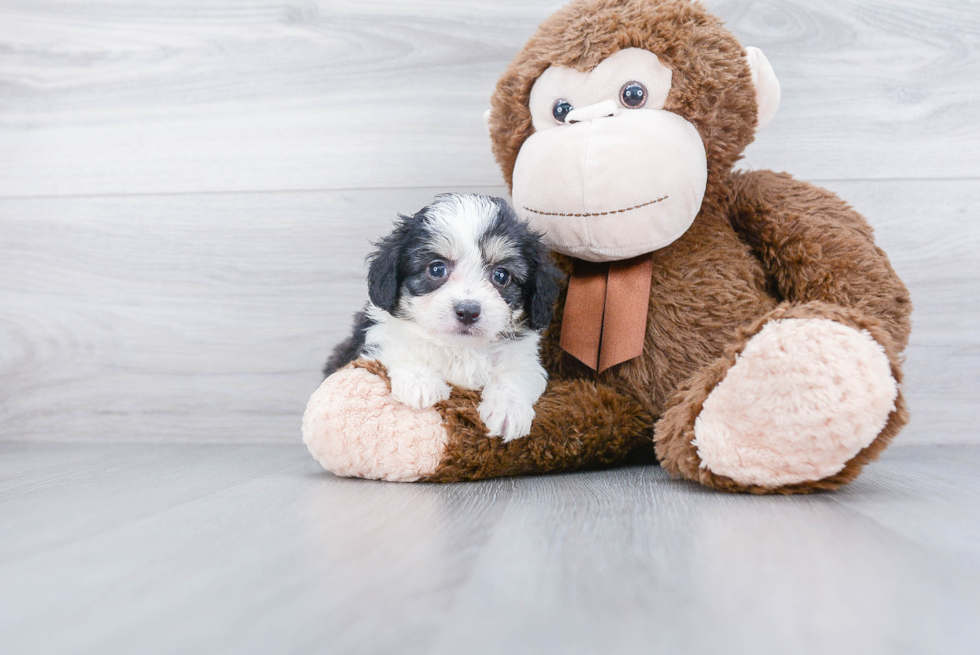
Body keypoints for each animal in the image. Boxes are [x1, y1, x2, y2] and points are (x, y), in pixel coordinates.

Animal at [328, 193, 564, 440]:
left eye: (501, 275)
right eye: (436, 269)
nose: (468, 311)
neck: (460, 348)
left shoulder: (523, 358)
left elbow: (515, 374)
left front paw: (508, 408)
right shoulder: (376, 337)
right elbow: (399, 345)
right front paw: (419, 380)